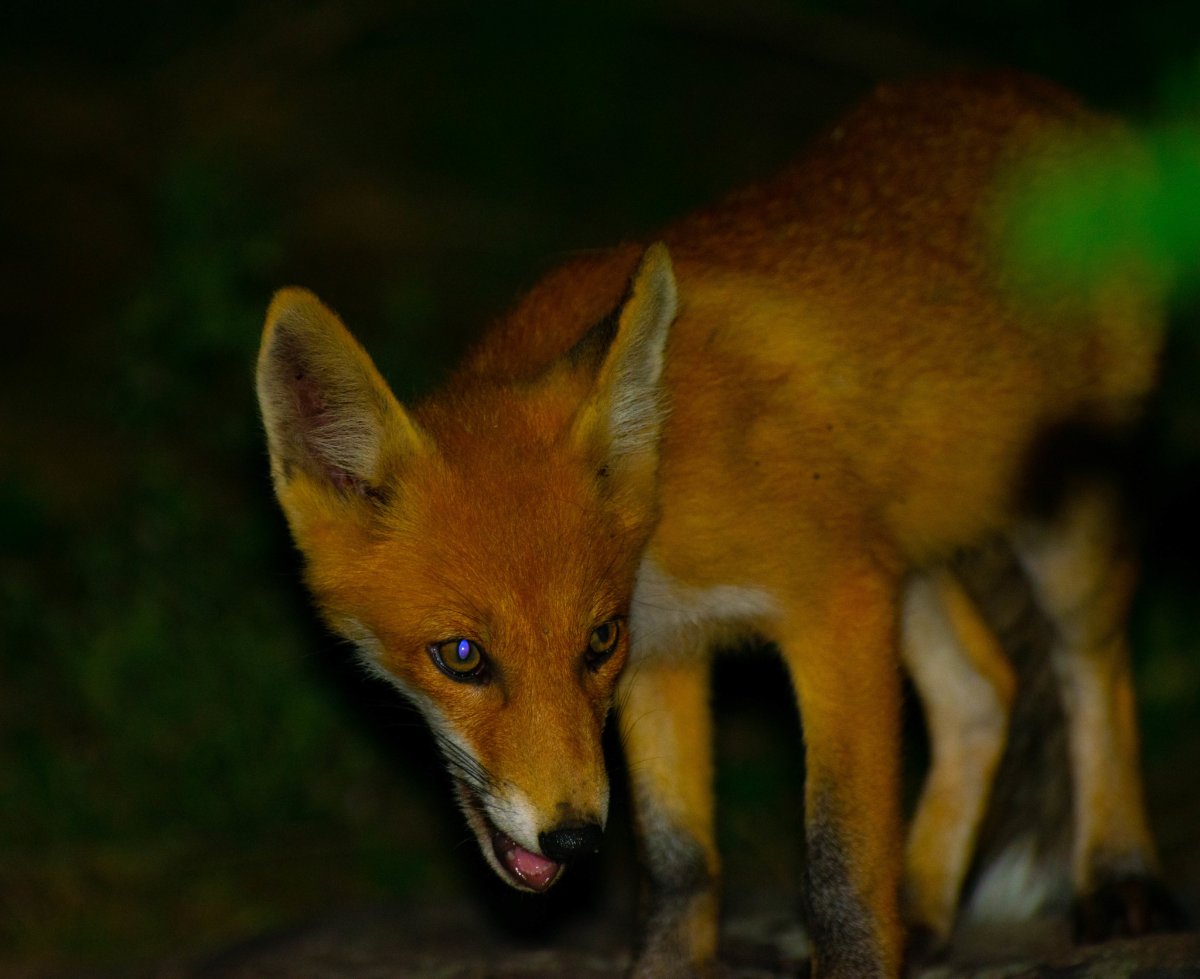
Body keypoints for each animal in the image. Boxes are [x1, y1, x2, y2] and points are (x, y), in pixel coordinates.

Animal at [255, 72, 1180, 974]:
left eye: (593, 641)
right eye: (461, 656)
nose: (576, 839)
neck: (666, 497)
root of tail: (1044, 98)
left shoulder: (834, 607)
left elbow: (841, 869)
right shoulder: (670, 651)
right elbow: (679, 863)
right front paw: (668, 965)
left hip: (1059, 539)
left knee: (1092, 672)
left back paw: (1118, 874)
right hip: (904, 559)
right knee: (983, 689)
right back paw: (922, 909)